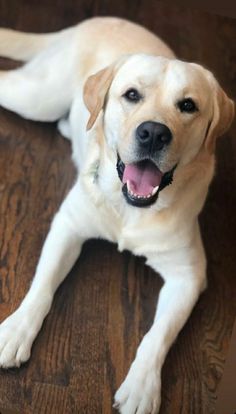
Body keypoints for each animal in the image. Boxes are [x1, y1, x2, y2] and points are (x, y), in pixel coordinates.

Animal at [0, 17, 234, 414]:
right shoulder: (67, 226)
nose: (153, 133)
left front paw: (141, 385)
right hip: (38, 97)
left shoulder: (188, 275)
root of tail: (91, 21)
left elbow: (157, 335)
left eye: (188, 105)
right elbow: (42, 286)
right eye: (132, 95)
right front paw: (17, 329)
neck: (131, 210)